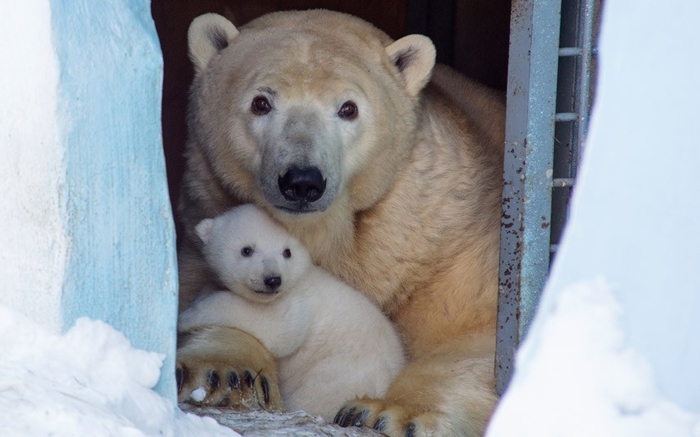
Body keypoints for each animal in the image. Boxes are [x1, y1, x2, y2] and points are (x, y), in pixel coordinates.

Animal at [174, 8, 504, 434]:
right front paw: (221, 373)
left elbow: (476, 332)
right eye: (261, 102)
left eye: (349, 108)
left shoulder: (443, 236)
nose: (302, 181)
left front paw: (387, 412)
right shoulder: (204, 210)